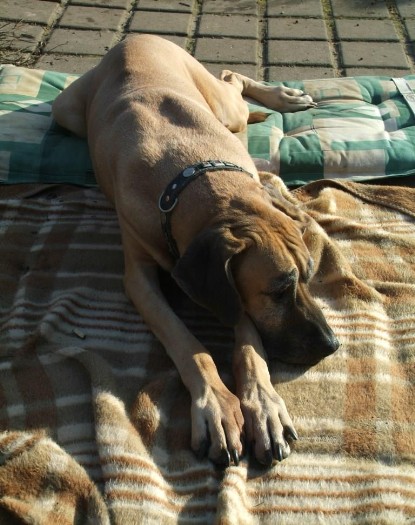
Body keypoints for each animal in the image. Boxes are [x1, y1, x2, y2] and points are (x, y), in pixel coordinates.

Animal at [52, 34, 340, 464]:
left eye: (309, 277)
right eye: (278, 291)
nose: (332, 344)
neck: (190, 179)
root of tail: (135, 37)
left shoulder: (231, 287)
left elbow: (249, 345)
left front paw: (264, 407)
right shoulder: (142, 280)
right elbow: (187, 344)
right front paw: (217, 406)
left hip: (224, 106)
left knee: (232, 81)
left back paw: (284, 99)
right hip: (66, 110)